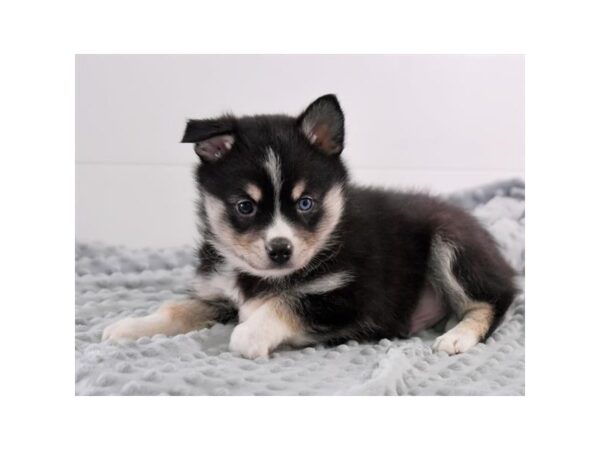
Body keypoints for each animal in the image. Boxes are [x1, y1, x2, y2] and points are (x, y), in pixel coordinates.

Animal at [103, 94, 516, 358]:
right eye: (245, 207)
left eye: (306, 203)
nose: (280, 249)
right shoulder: (216, 294)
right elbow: (177, 309)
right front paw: (129, 327)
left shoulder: (352, 297)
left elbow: (282, 307)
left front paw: (251, 333)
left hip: (451, 243)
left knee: (495, 300)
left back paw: (457, 336)